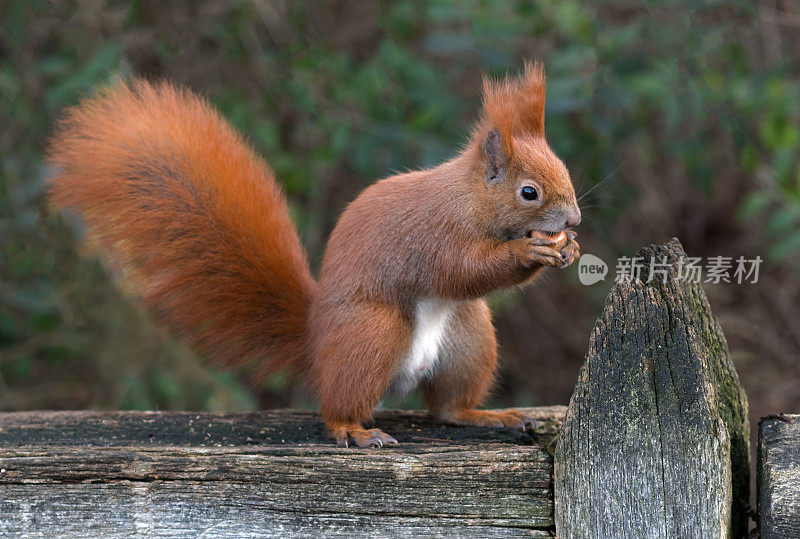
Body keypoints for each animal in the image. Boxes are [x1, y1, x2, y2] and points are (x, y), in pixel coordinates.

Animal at [48, 62, 580, 448]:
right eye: (529, 192)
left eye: (565, 169)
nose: (573, 220)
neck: (469, 200)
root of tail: (317, 341)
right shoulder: (435, 236)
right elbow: (466, 269)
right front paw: (531, 249)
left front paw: (568, 249)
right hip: (373, 332)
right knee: (338, 407)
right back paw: (354, 432)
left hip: (469, 338)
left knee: (447, 408)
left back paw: (486, 415)